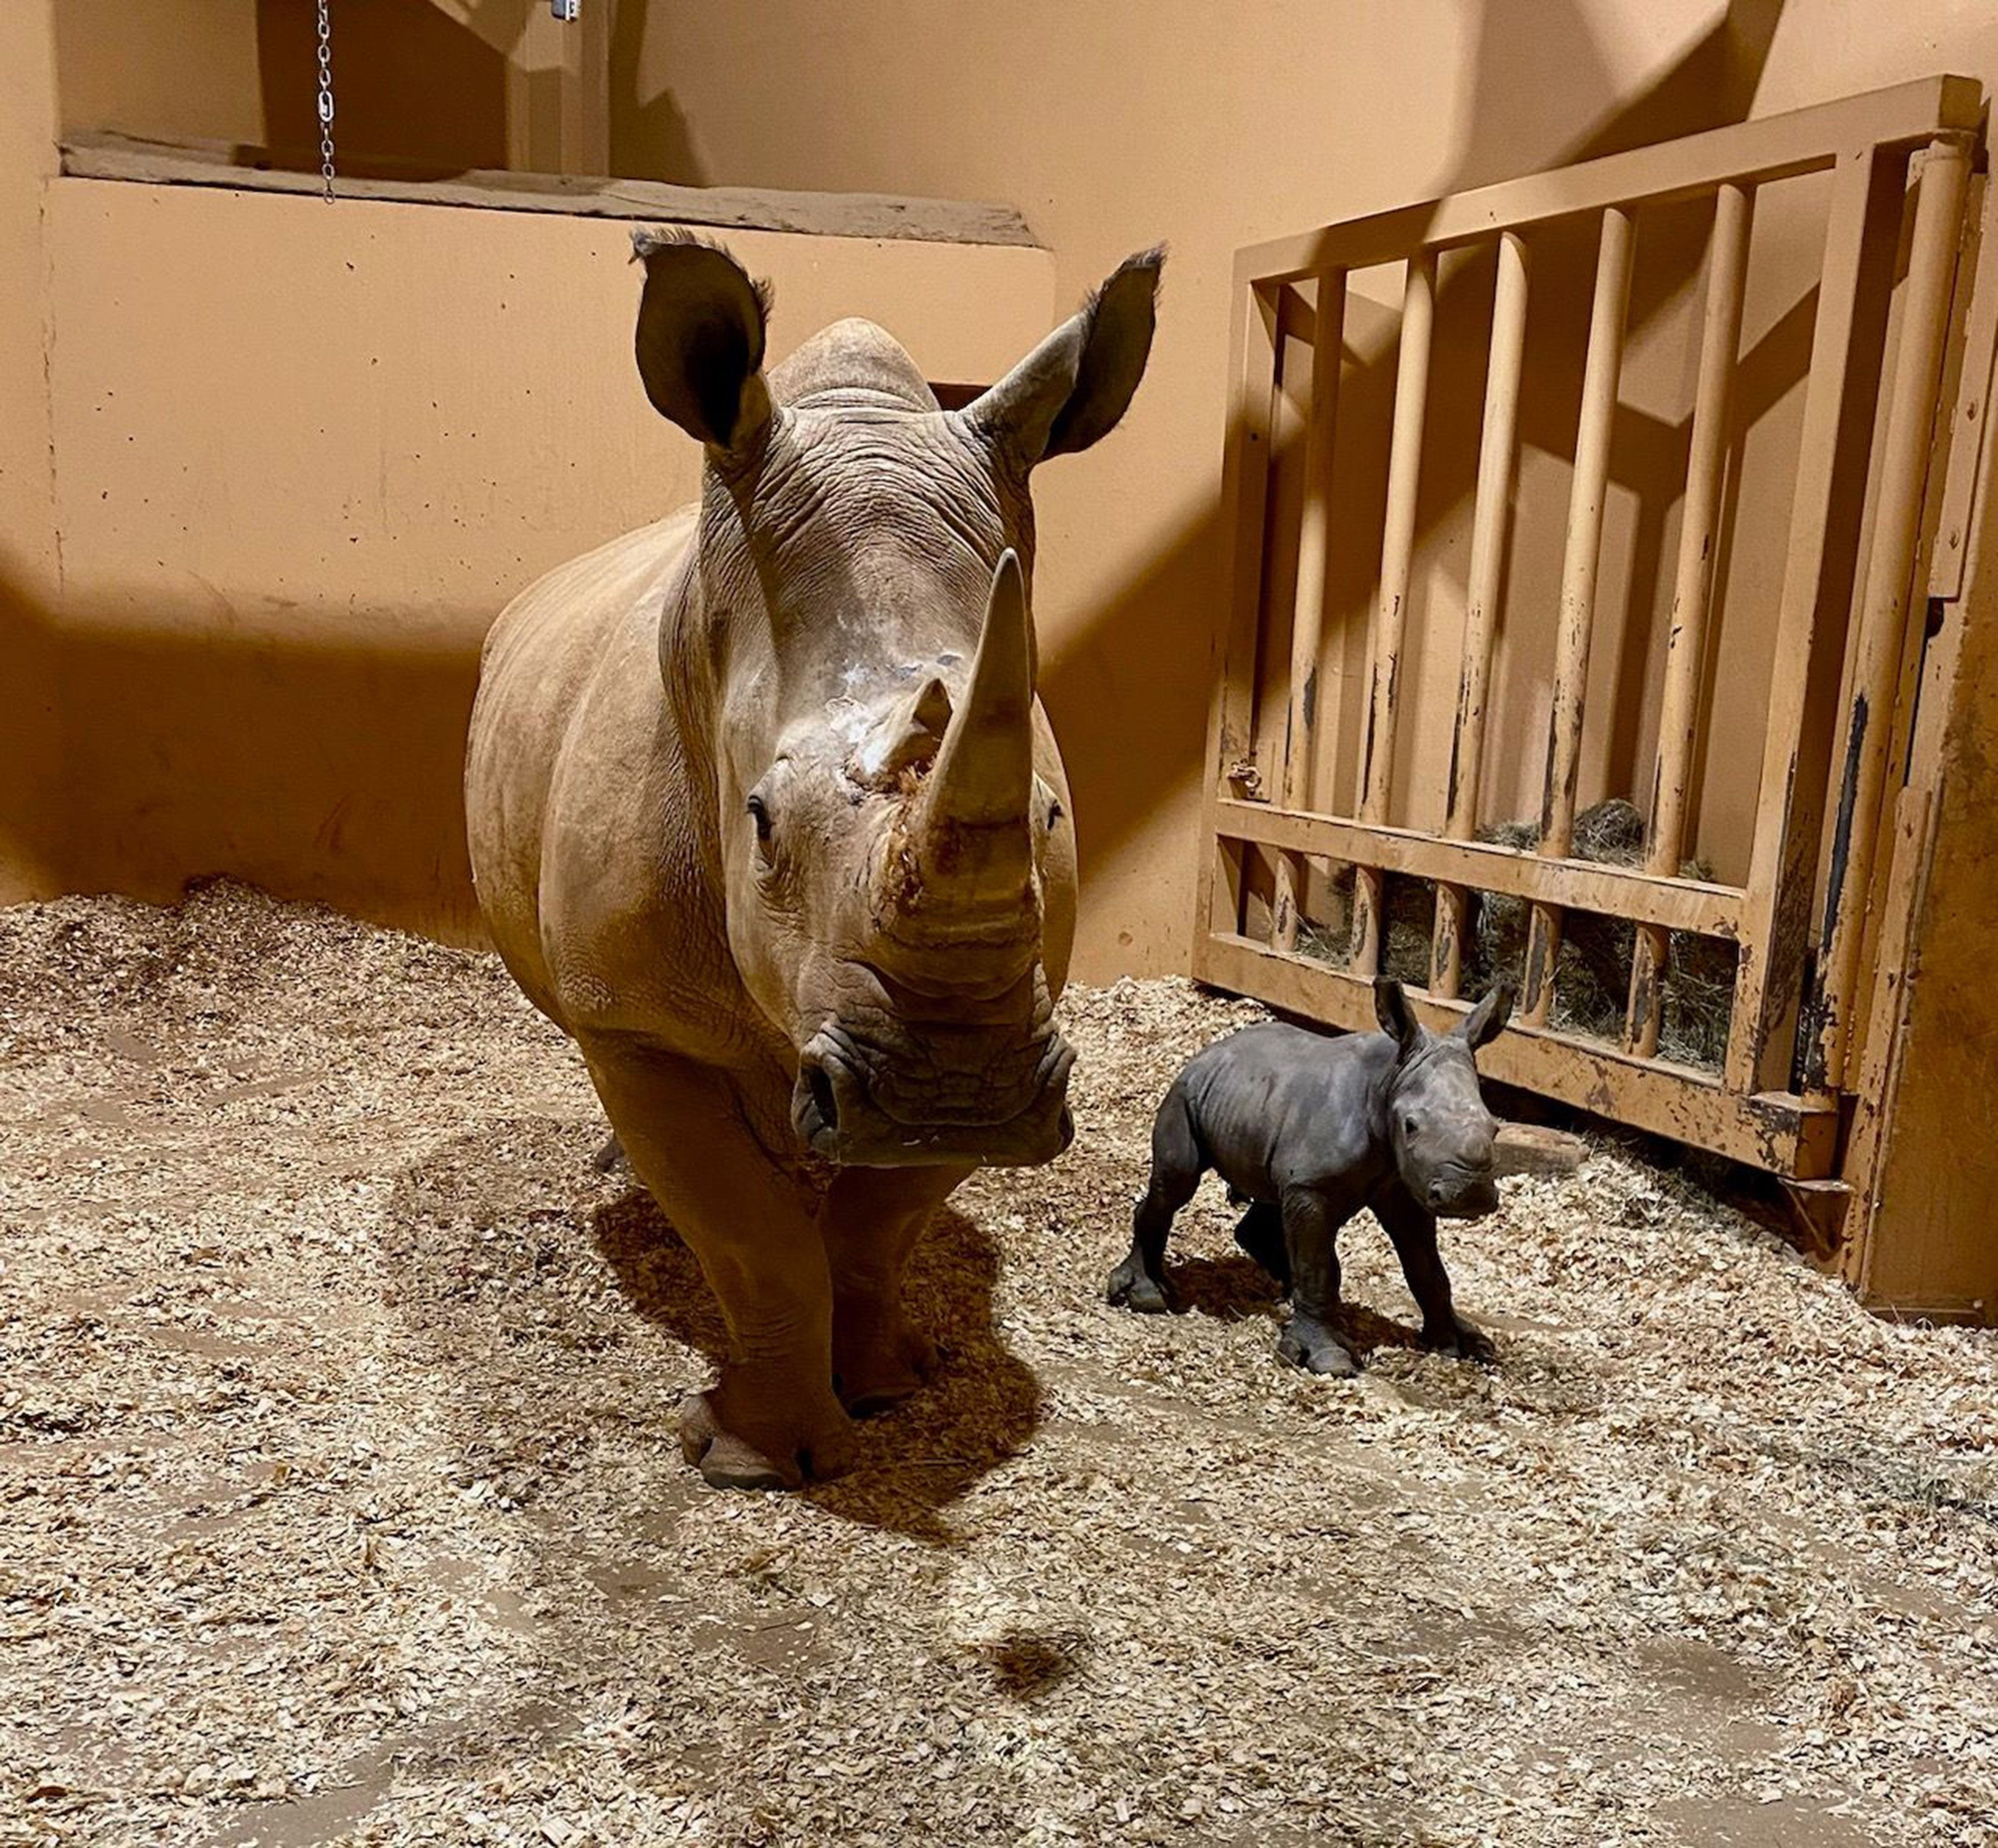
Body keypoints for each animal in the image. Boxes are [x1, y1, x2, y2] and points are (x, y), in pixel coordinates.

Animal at [465, 232, 1161, 1490]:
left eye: (1046, 818)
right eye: (756, 821)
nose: (959, 1095)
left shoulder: (976, 1016)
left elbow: (877, 1223)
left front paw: (886, 1387)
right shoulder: (633, 1018)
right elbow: (751, 1235)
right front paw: (759, 1461)